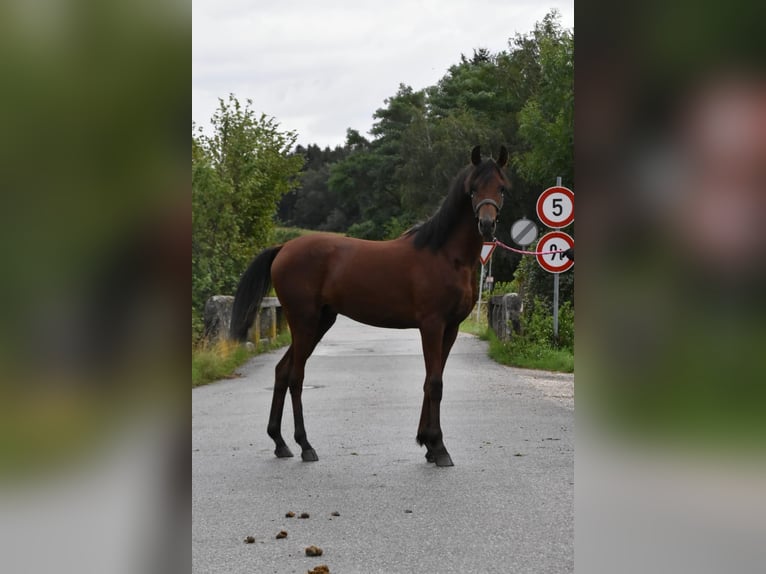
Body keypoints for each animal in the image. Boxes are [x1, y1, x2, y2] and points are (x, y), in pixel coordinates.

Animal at [231, 144, 512, 468]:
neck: (444, 255)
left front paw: (427, 444)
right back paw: (305, 445)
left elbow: (431, 380)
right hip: (303, 322)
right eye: (473, 188)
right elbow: (435, 383)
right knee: (296, 376)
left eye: (501, 188)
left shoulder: (450, 328)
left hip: (320, 323)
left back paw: (280, 442)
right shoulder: (432, 325)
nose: (487, 225)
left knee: (282, 371)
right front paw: (439, 447)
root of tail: (283, 248)